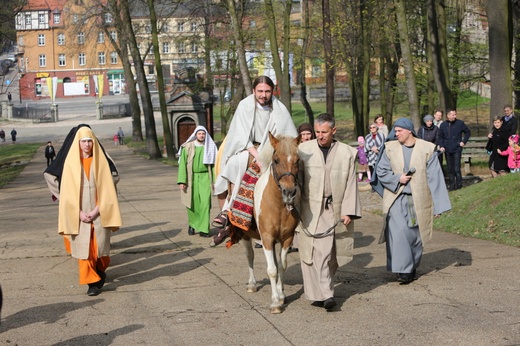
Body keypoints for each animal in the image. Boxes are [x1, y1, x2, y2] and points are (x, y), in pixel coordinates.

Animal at [228, 132, 300, 314]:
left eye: (297, 160)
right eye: (276, 160)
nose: (289, 192)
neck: (278, 206)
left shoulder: (287, 238)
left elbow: (281, 265)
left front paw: (281, 295)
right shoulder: (266, 238)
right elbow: (272, 270)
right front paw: (275, 303)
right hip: (246, 236)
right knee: (250, 256)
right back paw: (252, 284)